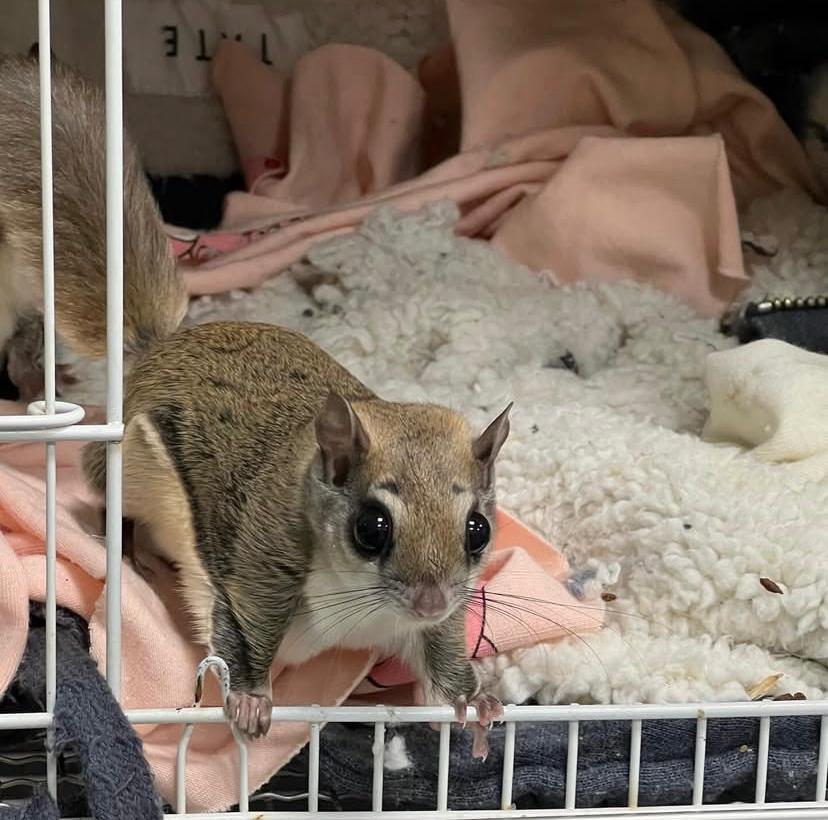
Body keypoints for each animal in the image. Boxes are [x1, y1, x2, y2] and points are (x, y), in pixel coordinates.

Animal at [0, 51, 514, 747]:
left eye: (477, 530)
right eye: (371, 527)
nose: (432, 597)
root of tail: (161, 348)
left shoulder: (426, 627)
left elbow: (443, 661)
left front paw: (477, 700)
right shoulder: (255, 570)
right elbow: (238, 631)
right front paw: (247, 701)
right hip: (126, 467)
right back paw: (135, 553)